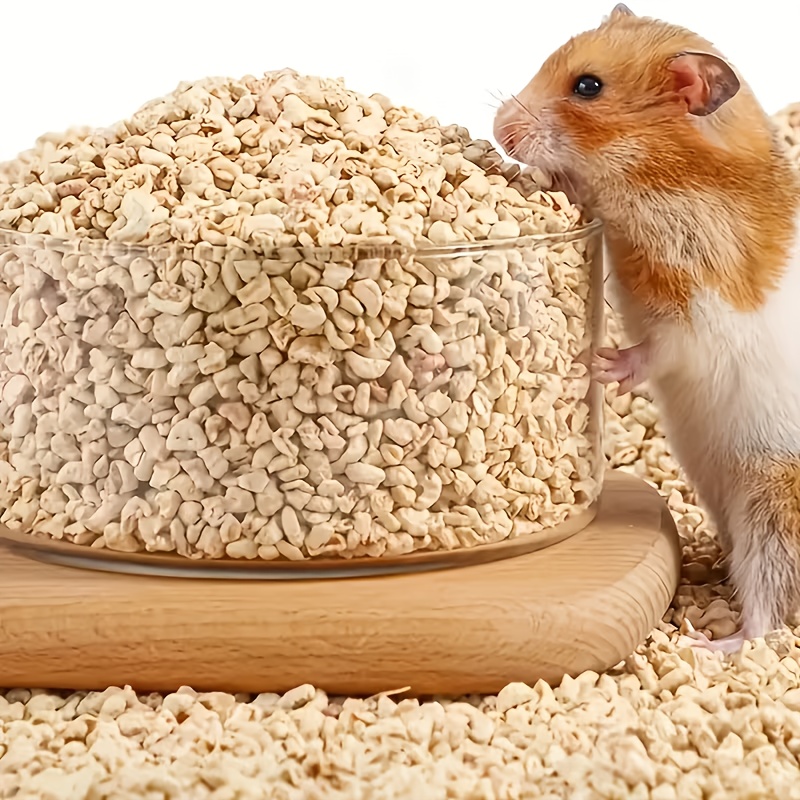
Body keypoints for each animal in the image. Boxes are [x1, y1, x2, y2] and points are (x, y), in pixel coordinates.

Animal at [493, 4, 800, 653]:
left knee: (771, 614)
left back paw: (708, 644)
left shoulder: (702, 311)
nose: (498, 128)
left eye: (588, 86)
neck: (664, 180)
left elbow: (659, 350)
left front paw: (600, 366)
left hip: (772, 504)